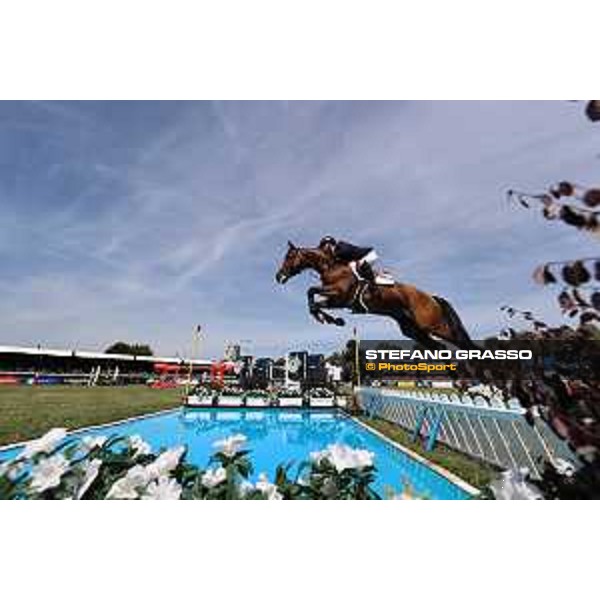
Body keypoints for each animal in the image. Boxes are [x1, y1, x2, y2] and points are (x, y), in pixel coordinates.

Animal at [274, 240, 476, 350]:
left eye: (289, 257)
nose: (279, 276)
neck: (330, 265)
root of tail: (432, 297)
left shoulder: (341, 294)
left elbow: (311, 291)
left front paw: (327, 319)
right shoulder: (338, 301)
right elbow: (314, 301)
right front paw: (331, 320)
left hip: (434, 325)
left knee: (463, 344)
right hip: (412, 329)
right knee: (439, 347)